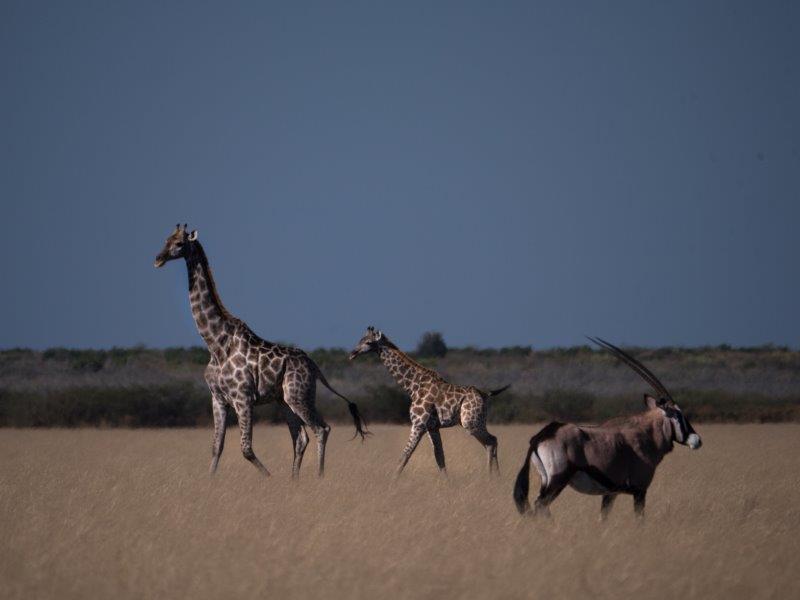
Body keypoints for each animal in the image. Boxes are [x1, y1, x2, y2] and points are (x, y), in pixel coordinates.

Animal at [155, 225, 368, 478]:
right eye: (165, 240)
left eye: (179, 244)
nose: (158, 259)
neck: (216, 344)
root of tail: (314, 366)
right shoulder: (218, 399)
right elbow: (217, 447)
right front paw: (210, 480)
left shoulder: (243, 398)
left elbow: (246, 449)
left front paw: (269, 478)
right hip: (284, 401)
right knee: (301, 438)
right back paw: (294, 480)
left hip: (298, 396)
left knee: (321, 429)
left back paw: (318, 476)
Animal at [348, 326, 510, 476]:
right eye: (359, 340)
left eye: (368, 342)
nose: (352, 354)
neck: (412, 386)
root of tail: (485, 394)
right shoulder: (432, 427)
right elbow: (440, 458)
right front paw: (447, 484)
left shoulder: (418, 424)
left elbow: (405, 456)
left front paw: (391, 483)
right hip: (478, 421)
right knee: (492, 441)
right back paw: (497, 477)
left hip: (470, 422)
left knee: (491, 442)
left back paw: (490, 478)